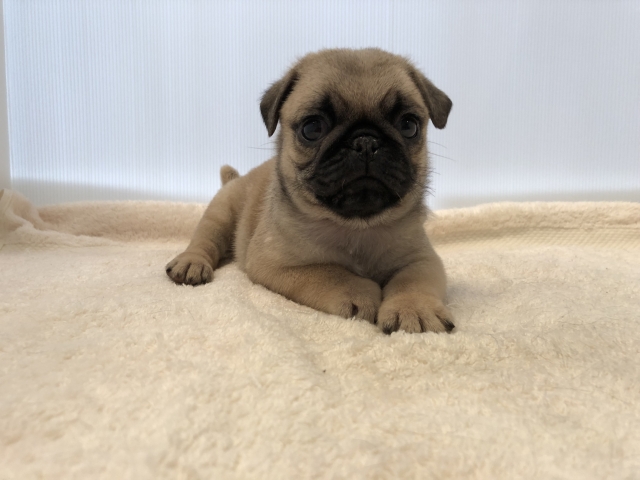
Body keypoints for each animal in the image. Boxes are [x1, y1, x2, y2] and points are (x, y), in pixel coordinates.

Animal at [166, 48, 454, 334]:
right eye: (312, 128)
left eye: (409, 126)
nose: (365, 141)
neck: (357, 227)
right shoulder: (273, 264)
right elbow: (329, 272)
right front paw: (360, 291)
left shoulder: (423, 259)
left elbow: (412, 280)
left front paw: (414, 308)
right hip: (222, 212)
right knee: (205, 238)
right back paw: (191, 263)